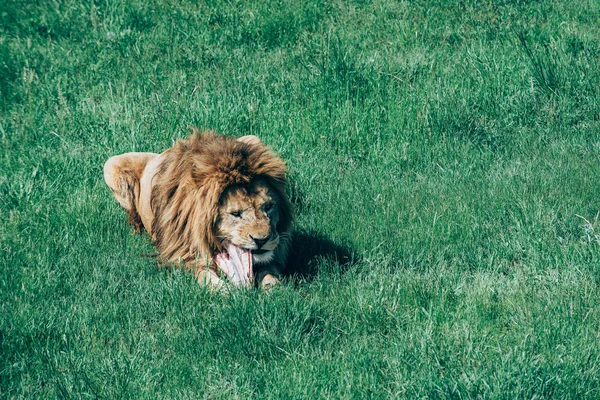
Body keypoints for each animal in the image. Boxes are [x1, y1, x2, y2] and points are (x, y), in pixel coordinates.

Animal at [103, 130, 296, 290]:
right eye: (235, 214)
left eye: (268, 206)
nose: (261, 240)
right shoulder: (185, 254)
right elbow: (207, 277)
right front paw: (227, 292)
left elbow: (271, 273)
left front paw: (274, 290)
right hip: (110, 164)